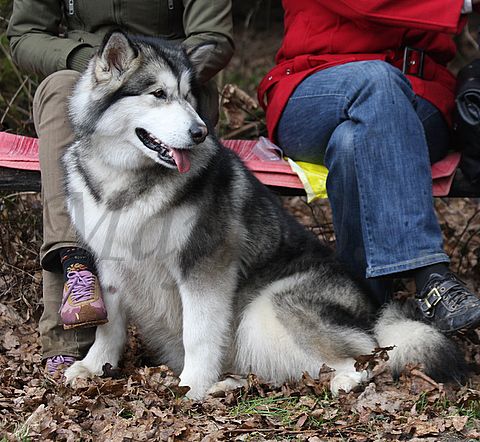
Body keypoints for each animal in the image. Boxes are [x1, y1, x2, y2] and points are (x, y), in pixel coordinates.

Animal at [62, 29, 464, 398]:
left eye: (188, 97)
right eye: (158, 94)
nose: (199, 132)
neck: (130, 179)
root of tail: (373, 315)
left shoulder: (204, 264)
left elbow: (198, 334)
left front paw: (191, 386)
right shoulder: (110, 260)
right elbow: (109, 323)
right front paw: (94, 366)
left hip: (269, 306)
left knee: (370, 356)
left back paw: (344, 380)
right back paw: (228, 383)